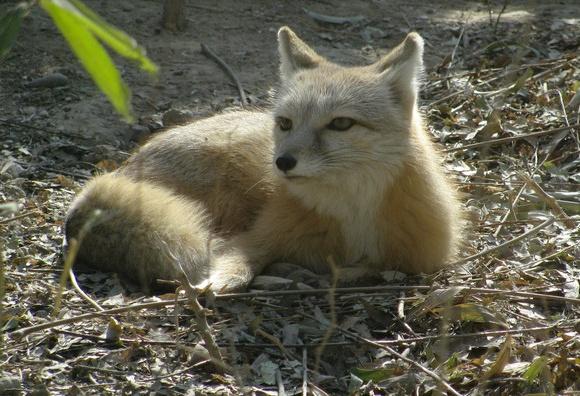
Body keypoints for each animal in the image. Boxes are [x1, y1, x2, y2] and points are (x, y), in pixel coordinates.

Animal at [64, 27, 462, 292]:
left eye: (341, 123)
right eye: (285, 123)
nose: (282, 163)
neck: (355, 215)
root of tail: (121, 169)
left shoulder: (419, 259)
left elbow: (375, 268)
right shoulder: (255, 235)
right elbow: (238, 258)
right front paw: (225, 278)